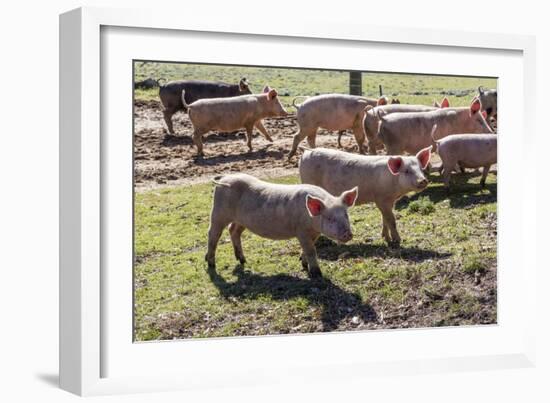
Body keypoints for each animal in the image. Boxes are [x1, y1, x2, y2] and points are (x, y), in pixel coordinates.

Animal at [206, 172, 358, 280]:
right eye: (329, 218)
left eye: (346, 215)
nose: (348, 234)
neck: (311, 220)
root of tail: (224, 178)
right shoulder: (301, 231)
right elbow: (311, 250)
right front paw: (317, 275)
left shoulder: (314, 233)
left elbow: (308, 249)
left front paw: (303, 264)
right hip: (218, 213)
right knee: (213, 234)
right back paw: (211, 263)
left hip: (241, 220)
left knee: (233, 230)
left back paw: (242, 260)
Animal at [300, 147, 434, 245]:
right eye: (407, 171)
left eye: (421, 169)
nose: (423, 180)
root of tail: (306, 152)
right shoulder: (381, 199)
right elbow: (391, 220)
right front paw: (398, 241)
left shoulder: (389, 200)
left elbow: (385, 219)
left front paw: (385, 238)